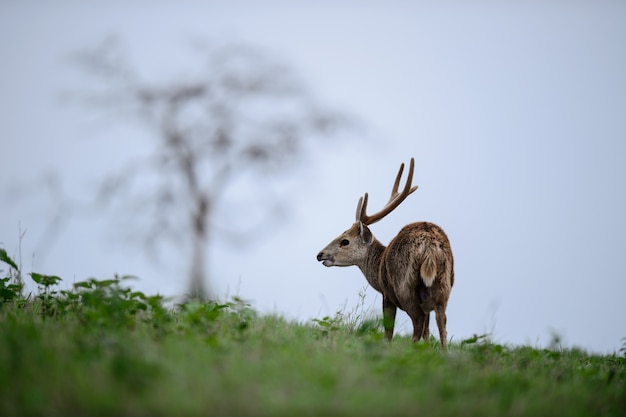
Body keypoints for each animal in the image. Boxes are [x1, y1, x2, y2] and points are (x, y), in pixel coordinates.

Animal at [316, 158, 454, 346]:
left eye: (345, 241)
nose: (319, 254)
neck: (378, 264)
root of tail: (429, 243)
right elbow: (427, 331)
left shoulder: (386, 294)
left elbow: (388, 331)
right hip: (443, 283)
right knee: (442, 320)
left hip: (404, 285)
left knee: (418, 319)